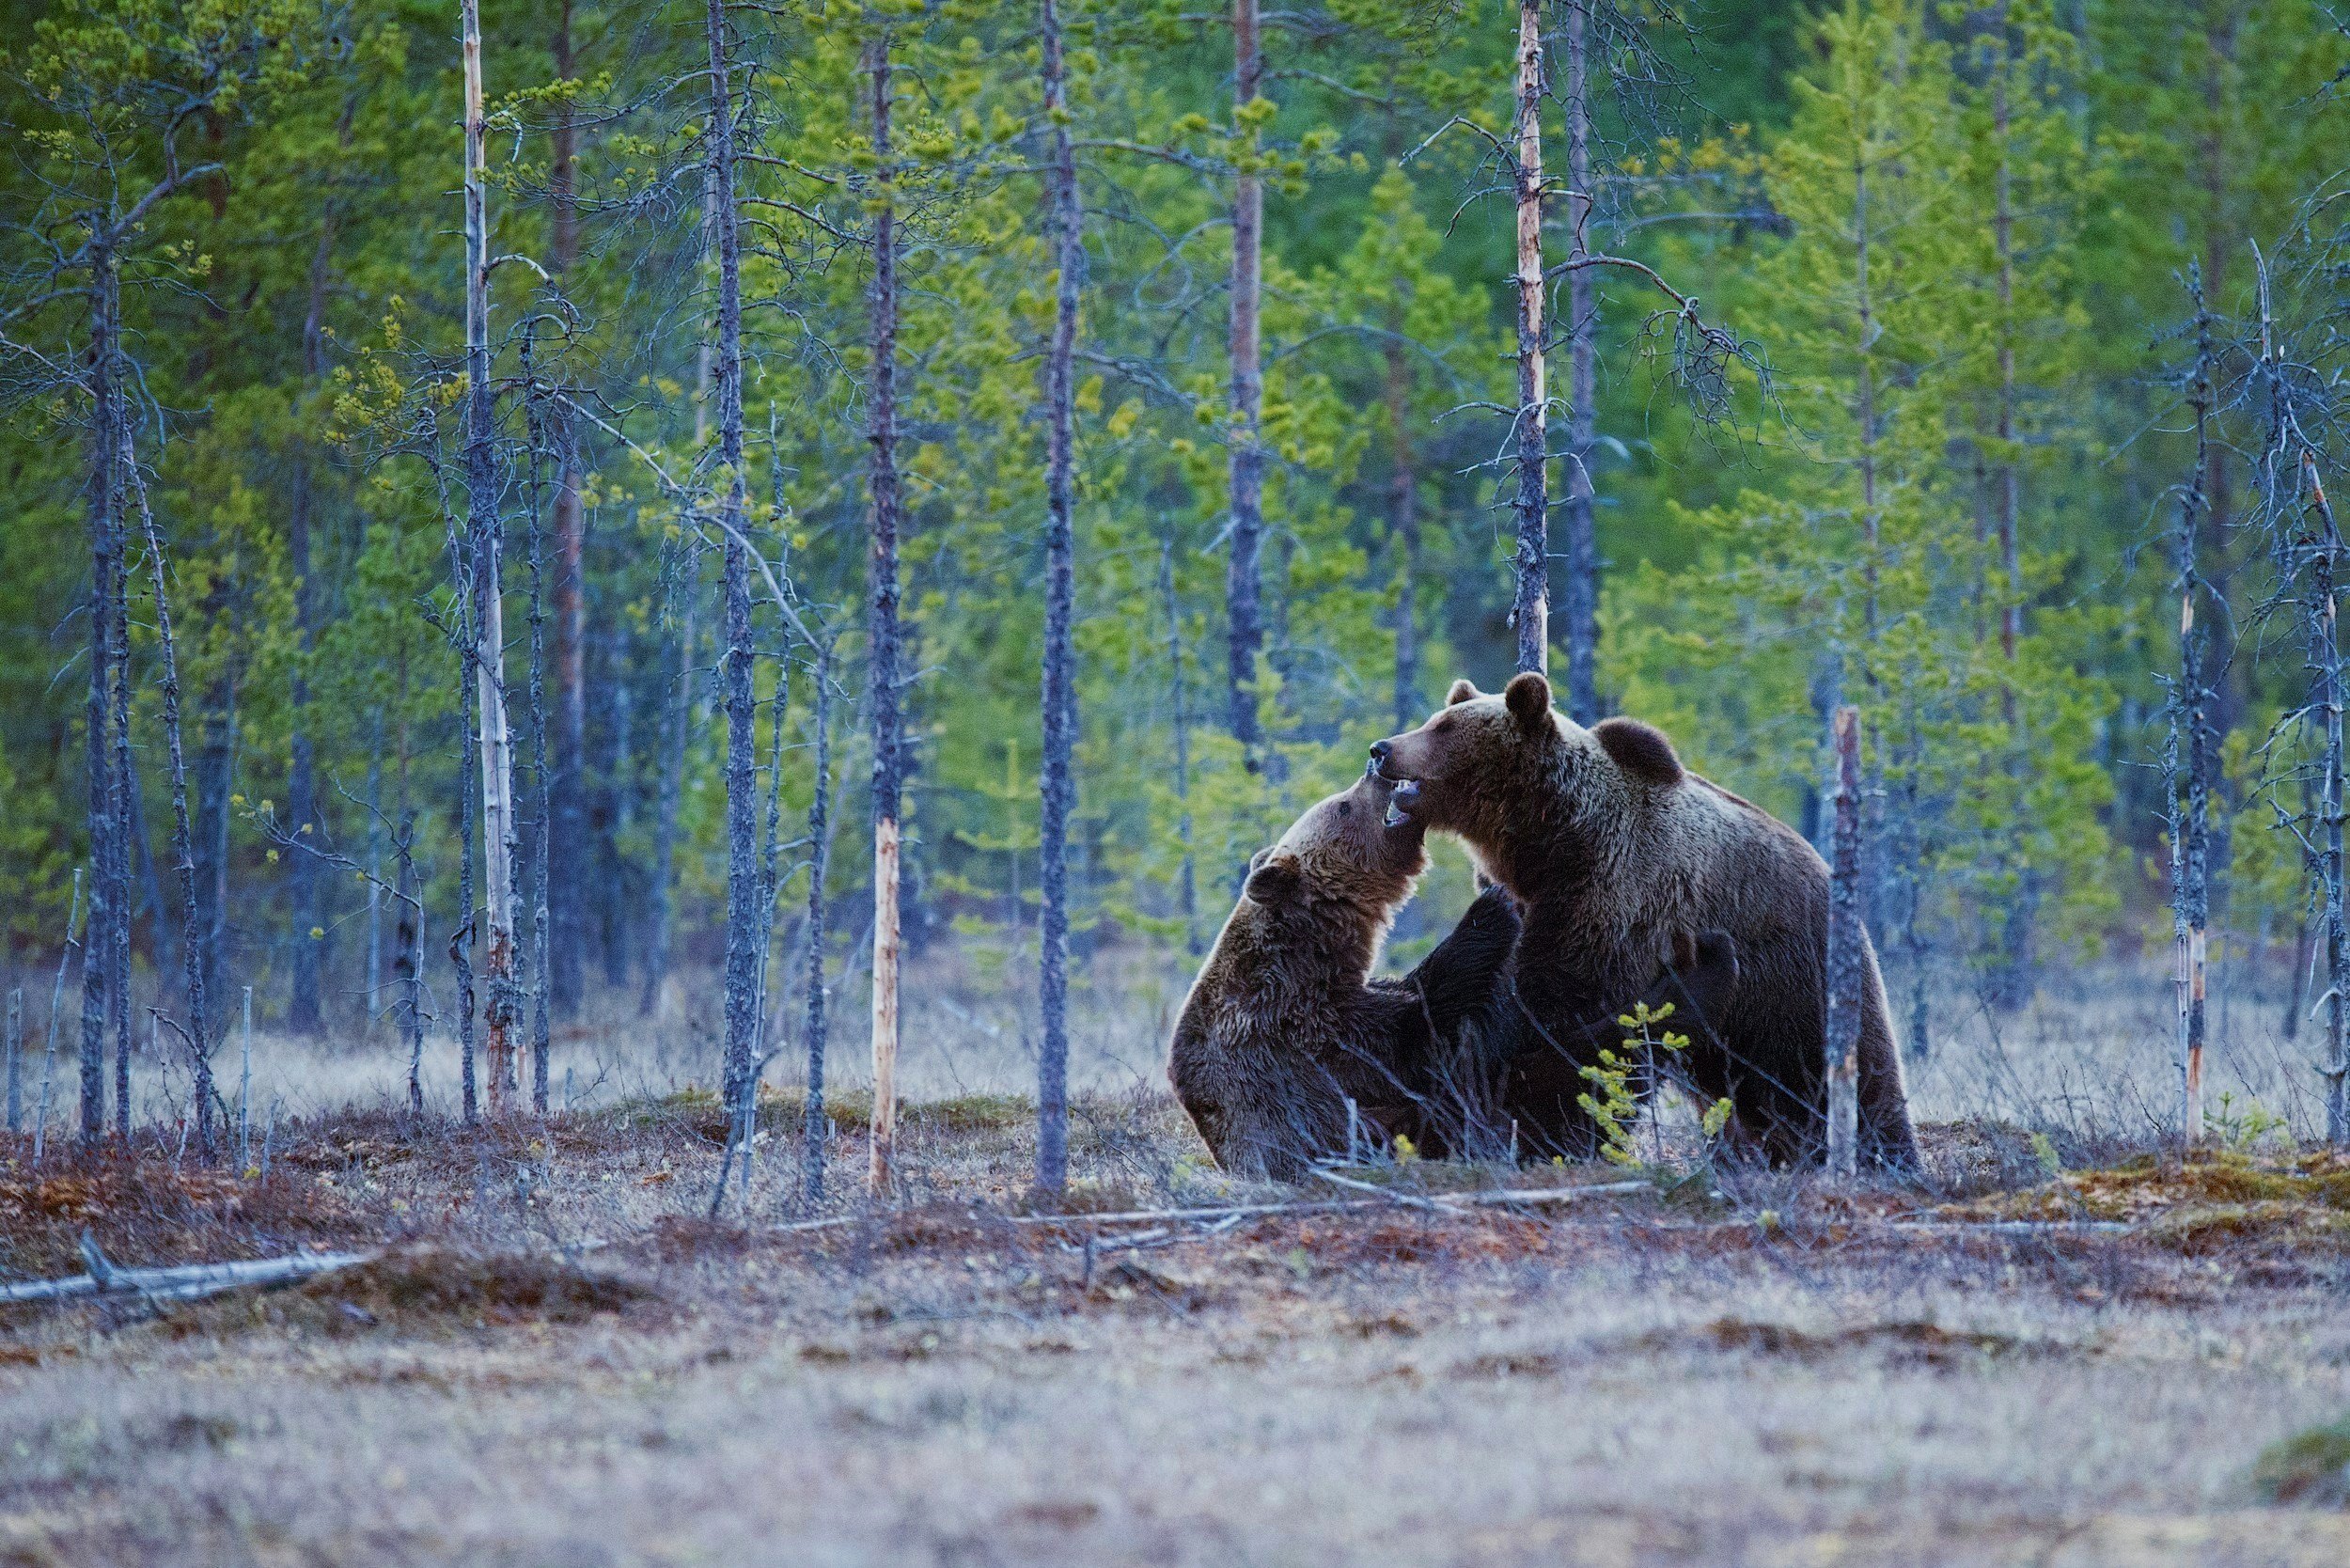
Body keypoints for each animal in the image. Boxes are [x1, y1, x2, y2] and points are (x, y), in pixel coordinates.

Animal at [1167, 764, 1740, 1178]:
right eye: (1345, 804)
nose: (1375, 769)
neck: (1310, 952)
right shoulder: (1299, 1034)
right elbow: (1427, 1031)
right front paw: (1494, 903)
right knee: (1582, 1072)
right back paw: (1706, 970)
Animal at [1369, 671, 1923, 1174]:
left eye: (1442, 728)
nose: (1381, 748)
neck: (1549, 843)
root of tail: (1832, 882)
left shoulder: (1615, 899)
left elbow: (1561, 1019)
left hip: (1793, 985)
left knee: (1844, 1074)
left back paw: (1883, 1156)